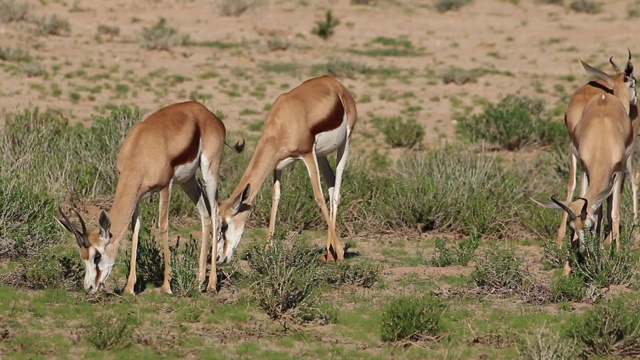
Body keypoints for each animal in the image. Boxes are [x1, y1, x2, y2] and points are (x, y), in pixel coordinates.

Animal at [57, 101, 242, 296]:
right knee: (204, 214)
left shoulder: (166, 186)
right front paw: (129, 287)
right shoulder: (137, 196)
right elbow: (135, 230)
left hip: (209, 172)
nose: (89, 287)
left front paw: (166, 286)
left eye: (97, 256)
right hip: (188, 181)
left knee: (214, 212)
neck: (141, 153)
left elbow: (163, 226)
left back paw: (212, 285)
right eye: (82, 256)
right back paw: (199, 282)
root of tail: (208, 113)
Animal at [214, 76, 356, 266]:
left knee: (336, 193)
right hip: (321, 155)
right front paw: (267, 250)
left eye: (224, 225)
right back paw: (328, 254)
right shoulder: (278, 165)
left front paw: (340, 254)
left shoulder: (307, 154)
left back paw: (336, 254)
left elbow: (318, 197)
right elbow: (276, 197)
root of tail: (335, 83)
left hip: (344, 143)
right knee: (332, 185)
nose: (218, 258)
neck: (284, 121)